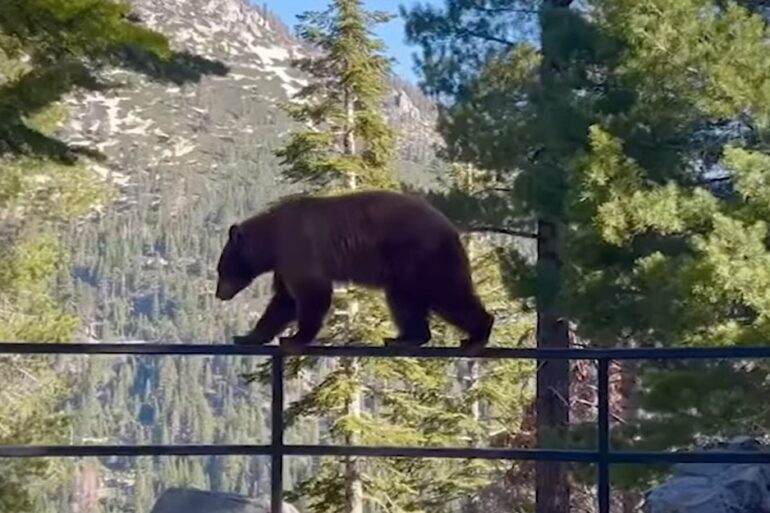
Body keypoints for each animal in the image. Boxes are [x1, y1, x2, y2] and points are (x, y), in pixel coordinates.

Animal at [214, 189, 494, 350]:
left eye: (220, 269)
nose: (219, 294)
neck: (272, 239)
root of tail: (451, 228)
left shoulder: (300, 249)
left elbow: (310, 294)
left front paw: (295, 338)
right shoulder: (285, 263)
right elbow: (283, 301)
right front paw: (249, 336)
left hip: (422, 256)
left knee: (448, 293)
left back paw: (477, 335)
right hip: (401, 272)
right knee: (404, 301)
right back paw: (407, 337)